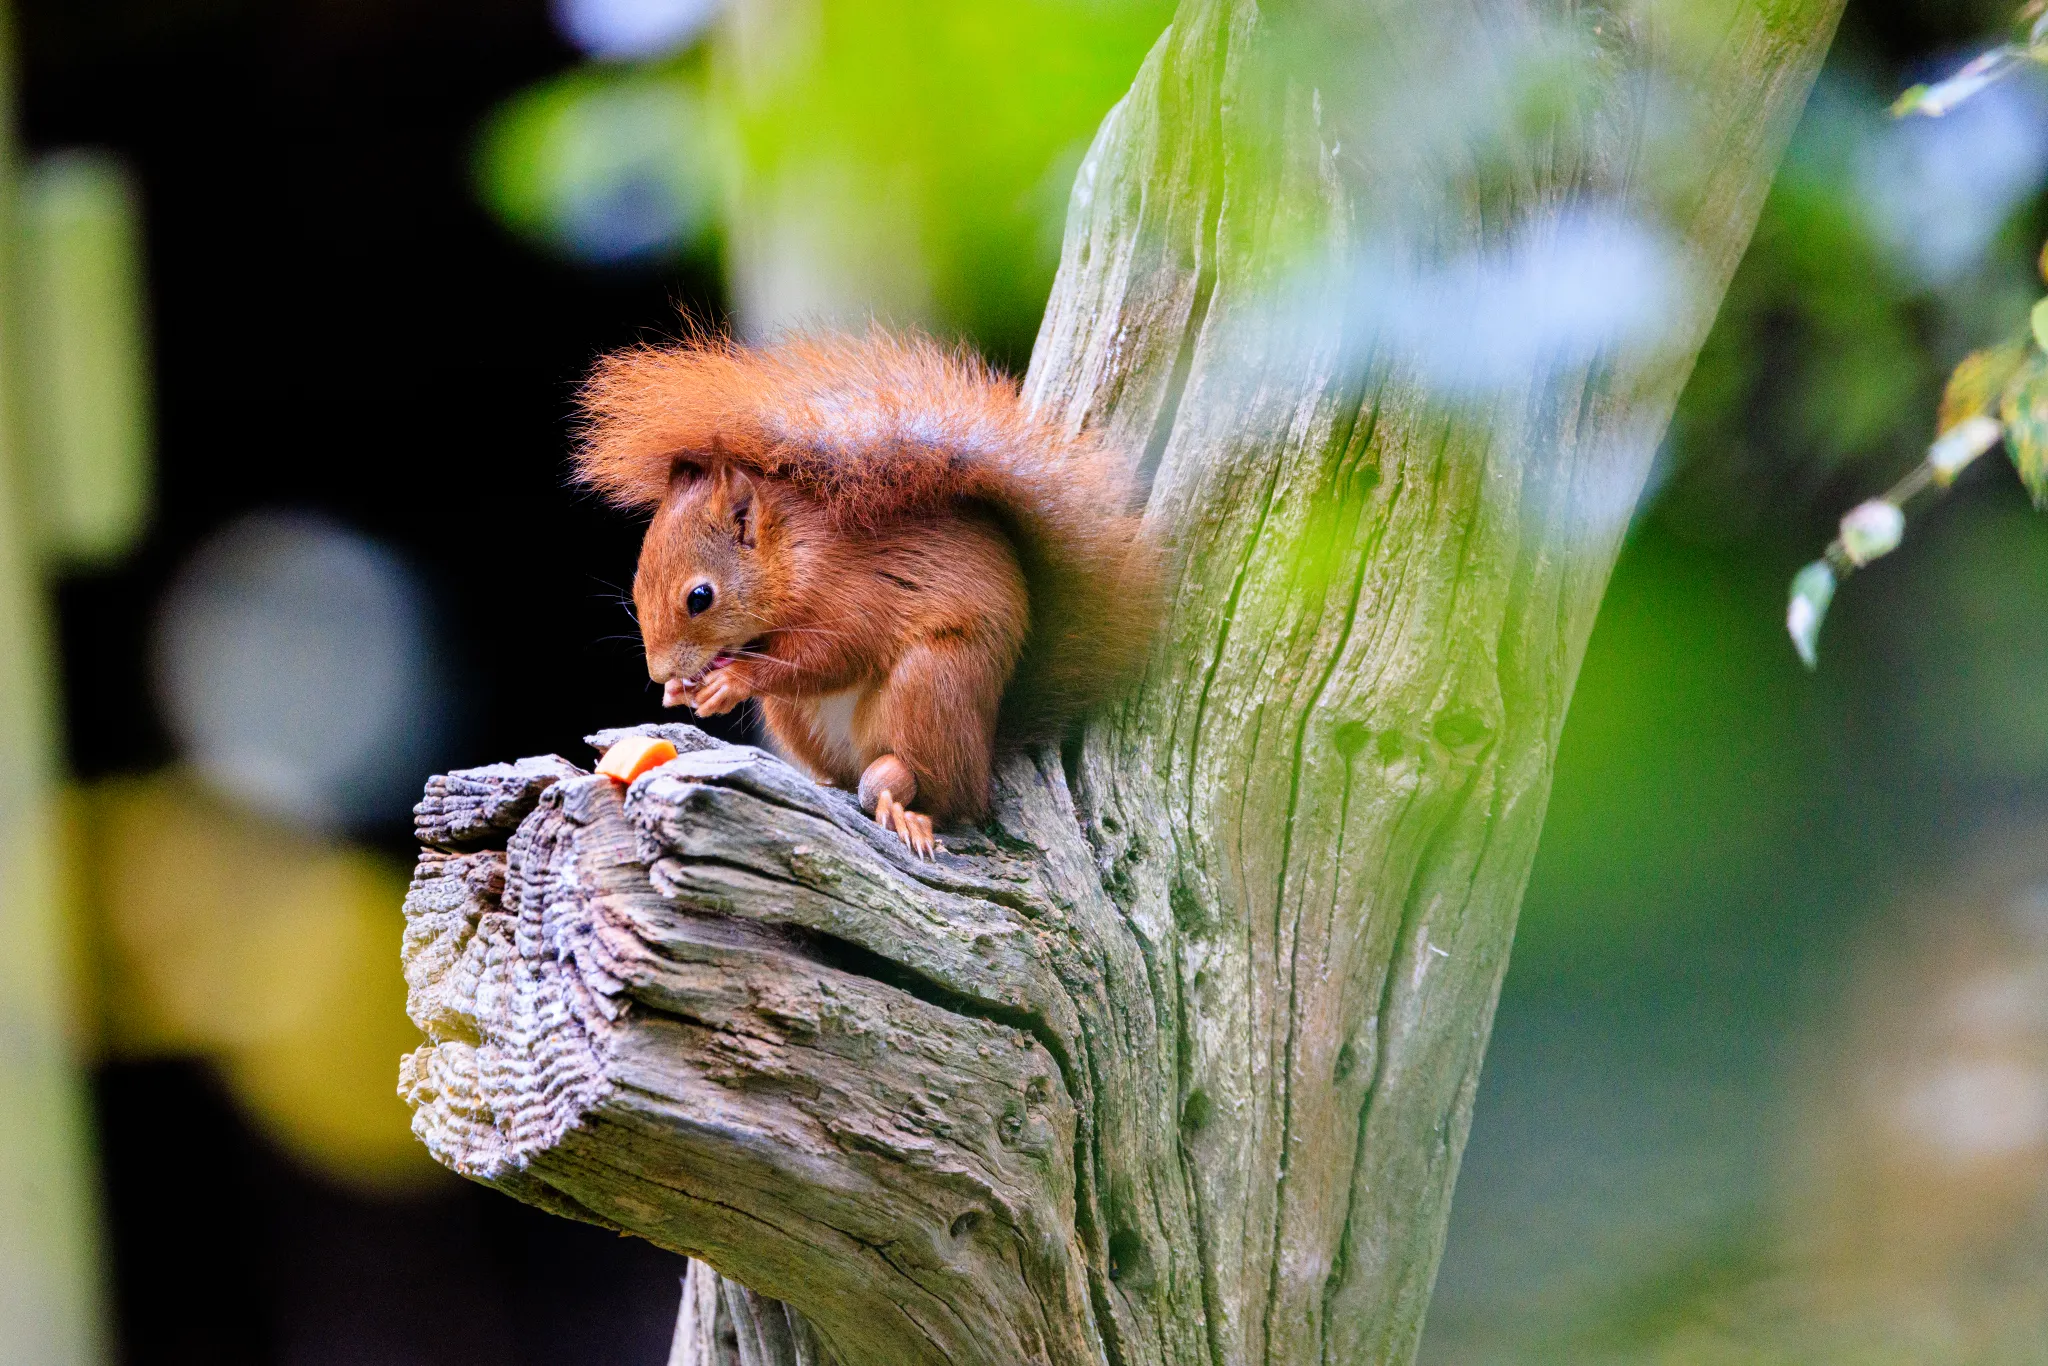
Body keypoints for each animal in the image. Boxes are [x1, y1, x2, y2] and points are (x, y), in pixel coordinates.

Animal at [574, 328, 1160, 857]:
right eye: (637, 587)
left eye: (700, 597)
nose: (659, 674)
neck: (794, 554)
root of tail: (989, 738)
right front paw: (682, 691)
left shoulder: (854, 596)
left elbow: (833, 656)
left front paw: (731, 681)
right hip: (798, 718)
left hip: (933, 685)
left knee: (947, 796)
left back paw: (906, 811)